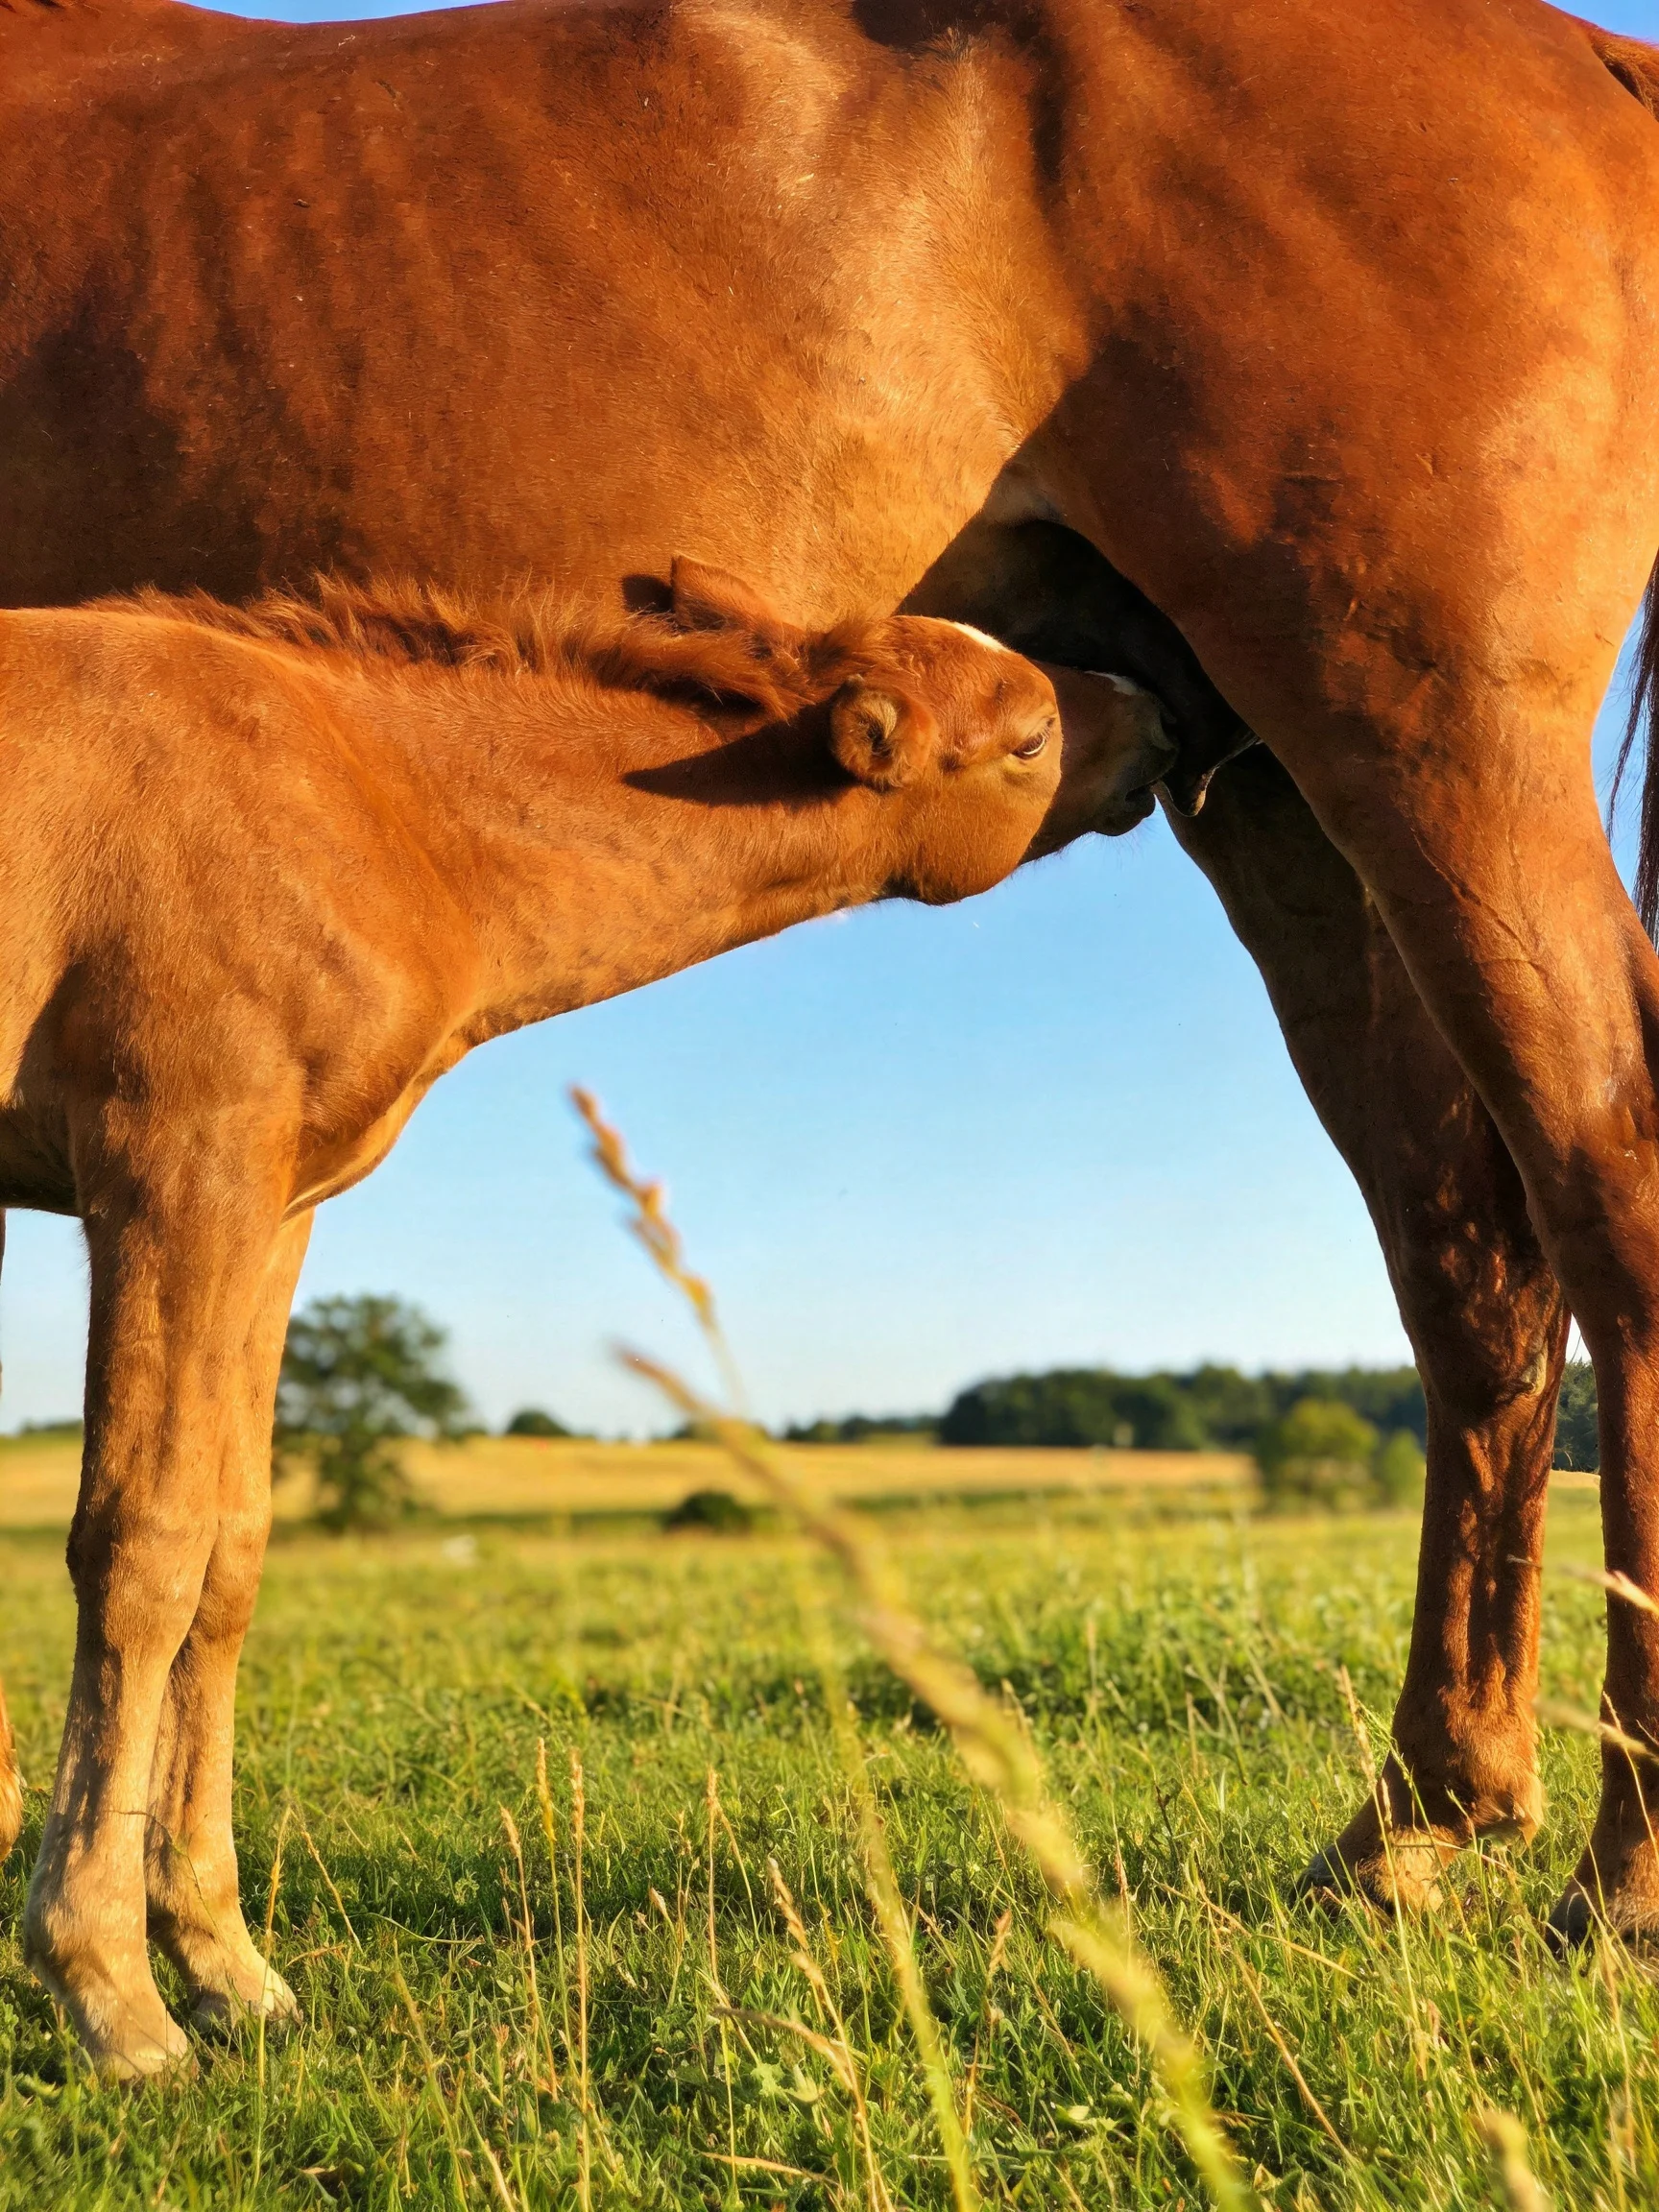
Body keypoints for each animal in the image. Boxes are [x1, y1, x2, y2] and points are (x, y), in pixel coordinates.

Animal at [1, 0, 1658, 2040]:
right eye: (1013, 729)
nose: (1139, 722)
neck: (362, 777)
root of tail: (1590, 66)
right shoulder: (212, 1167)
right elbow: (200, 1531)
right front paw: (163, 1958)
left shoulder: (195, 1161)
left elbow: (159, 1531)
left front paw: (124, 1969)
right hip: (1297, 795)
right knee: (1468, 1270)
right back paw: (1416, 1827)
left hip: (1431, 739)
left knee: (1600, 1196)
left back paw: (1618, 1876)